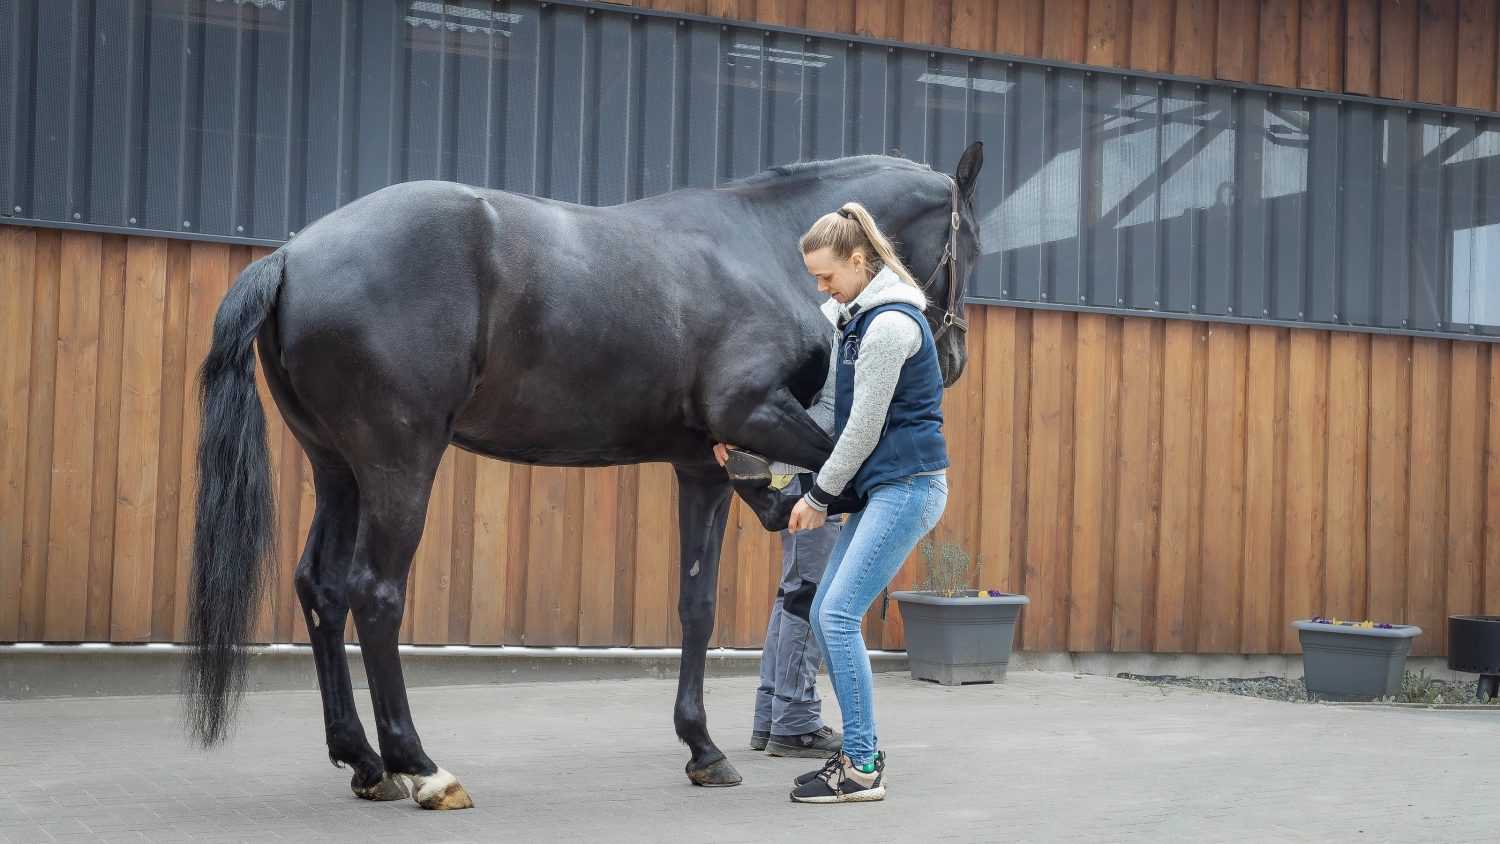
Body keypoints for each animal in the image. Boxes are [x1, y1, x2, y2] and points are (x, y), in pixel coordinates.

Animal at [184, 144, 984, 809]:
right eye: (972, 244)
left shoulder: (698, 465)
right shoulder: (753, 413)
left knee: (320, 589)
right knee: (374, 594)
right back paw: (421, 766)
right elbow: (842, 471)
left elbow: (697, 603)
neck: (757, 246)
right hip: (398, 462)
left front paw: (702, 748)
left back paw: (363, 760)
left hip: (338, 468)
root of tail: (293, 256)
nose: (953, 361)